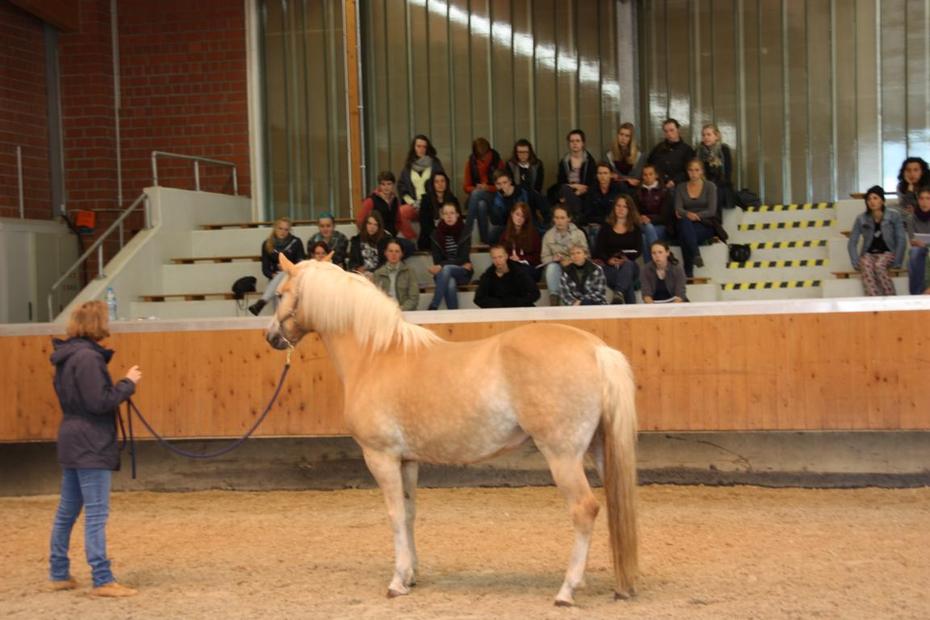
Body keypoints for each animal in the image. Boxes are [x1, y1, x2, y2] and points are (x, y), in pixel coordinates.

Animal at [264, 253, 636, 604]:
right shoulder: (407, 460)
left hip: (562, 455)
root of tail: (596, 349)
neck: (375, 355)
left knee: (584, 509)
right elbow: (410, 513)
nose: (271, 337)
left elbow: (394, 515)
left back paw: (567, 589)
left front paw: (397, 581)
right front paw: (412, 575)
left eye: (281, 294)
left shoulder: (381, 456)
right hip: (599, 449)